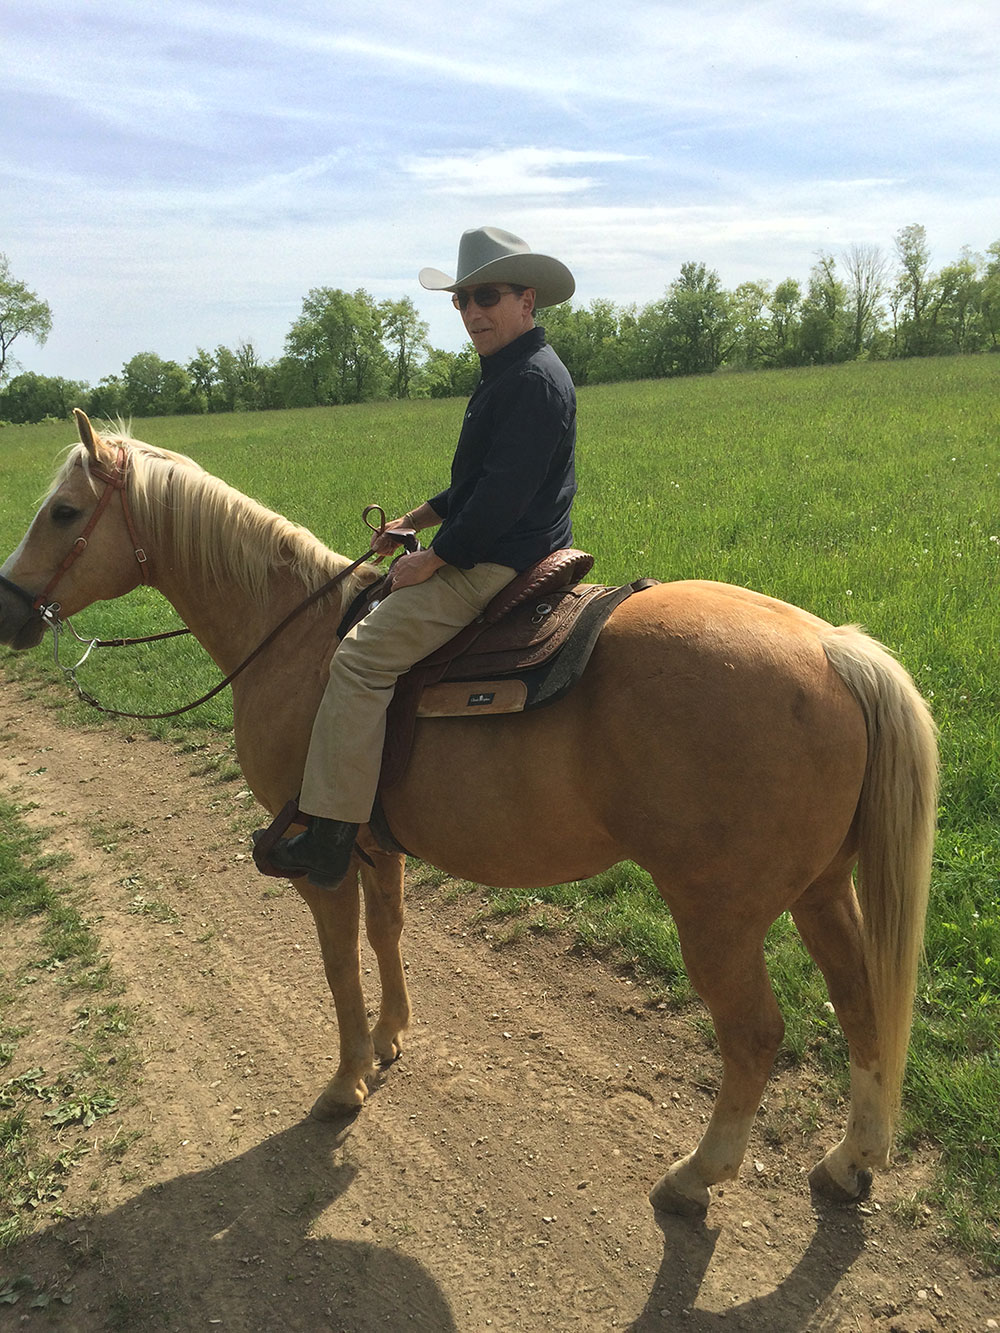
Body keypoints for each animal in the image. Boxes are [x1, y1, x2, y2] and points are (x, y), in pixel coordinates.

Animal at [1, 415, 938, 1221]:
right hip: (823, 891)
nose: (8, 606)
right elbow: (388, 934)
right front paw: (390, 1039)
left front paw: (345, 1081)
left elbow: (338, 964)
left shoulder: (318, 862)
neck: (297, 639)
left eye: (65, 511)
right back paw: (850, 1160)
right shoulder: (373, 845)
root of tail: (832, 648)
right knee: (860, 1003)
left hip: (719, 916)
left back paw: (695, 1174)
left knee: (753, 1036)